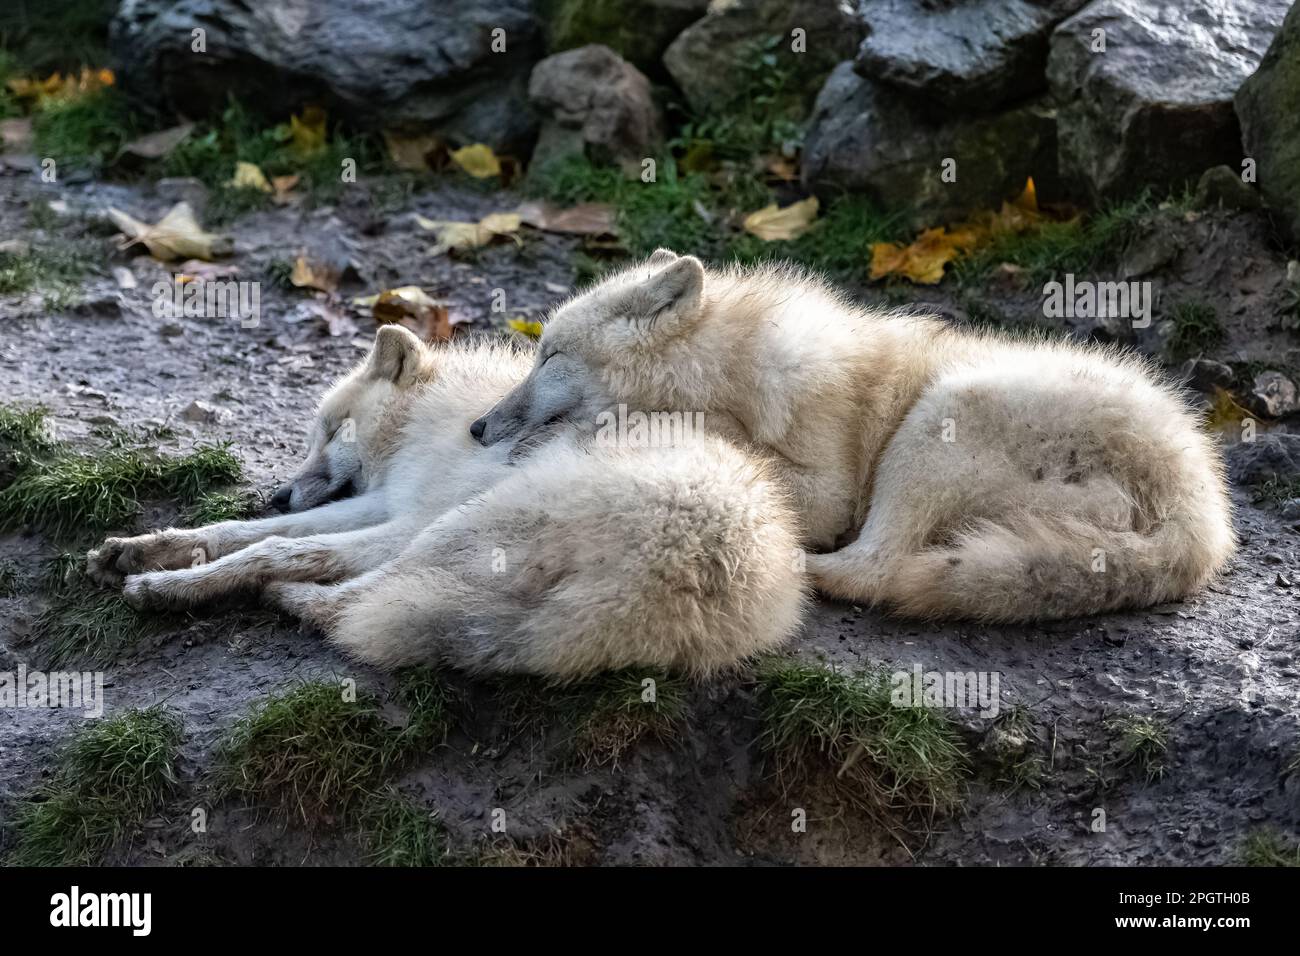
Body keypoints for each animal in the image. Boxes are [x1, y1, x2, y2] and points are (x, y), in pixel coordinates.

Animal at [86, 325, 806, 678]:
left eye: (331, 430)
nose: (278, 492)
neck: (432, 420)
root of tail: (687, 573)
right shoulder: (387, 504)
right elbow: (240, 531)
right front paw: (146, 548)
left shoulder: (406, 517)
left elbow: (278, 546)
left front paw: (169, 581)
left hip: (454, 530)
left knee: (351, 601)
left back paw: (277, 599)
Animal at [470, 249, 1235, 622]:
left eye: (549, 356)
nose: (477, 428)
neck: (735, 368)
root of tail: (1200, 517)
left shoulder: (828, 492)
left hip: (938, 421)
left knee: (874, 571)